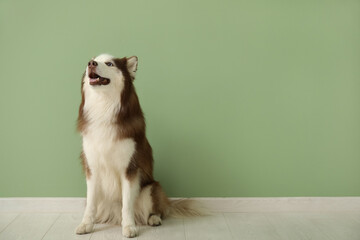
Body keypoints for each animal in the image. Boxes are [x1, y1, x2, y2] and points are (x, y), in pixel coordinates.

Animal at [75, 53, 201, 237]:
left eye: (109, 63)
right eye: (93, 59)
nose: (91, 64)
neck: (104, 107)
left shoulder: (130, 168)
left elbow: (127, 204)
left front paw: (129, 227)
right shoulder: (92, 167)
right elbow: (90, 204)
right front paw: (86, 224)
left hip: (152, 188)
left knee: (156, 210)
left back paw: (154, 218)